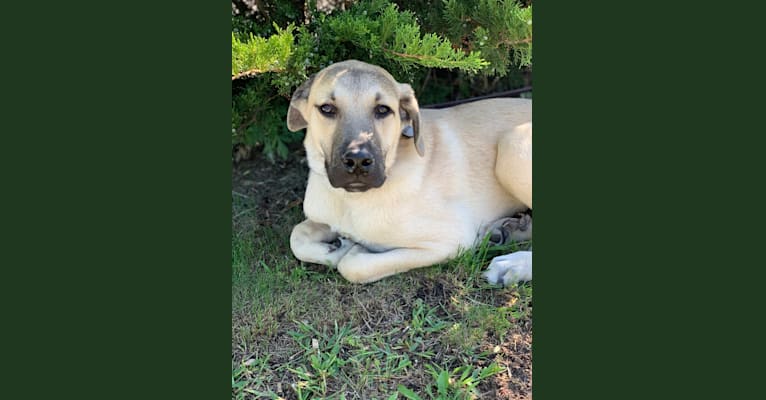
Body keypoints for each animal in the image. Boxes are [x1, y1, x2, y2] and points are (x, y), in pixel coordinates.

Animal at [288, 59, 536, 286]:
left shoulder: (450, 239)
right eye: (327, 109)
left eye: (382, 110)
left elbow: (353, 266)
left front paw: (352, 248)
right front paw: (338, 247)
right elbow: (297, 236)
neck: (349, 201)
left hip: (512, 145)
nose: (357, 161)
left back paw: (514, 264)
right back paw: (507, 230)